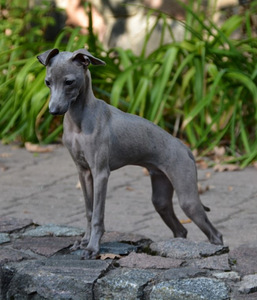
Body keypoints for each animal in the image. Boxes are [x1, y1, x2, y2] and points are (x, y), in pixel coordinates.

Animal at [37, 48, 222, 258]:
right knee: (180, 229)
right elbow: (89, 211)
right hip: (161, 197)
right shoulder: (83, 172)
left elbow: (98, 214)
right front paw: (84, 241)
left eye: (69, 82)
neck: (79, 121)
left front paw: (93, 247)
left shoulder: (100, 173)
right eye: (47, 82)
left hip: (187, 198)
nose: (53, 111)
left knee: (215, 234)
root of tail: (186, 149)